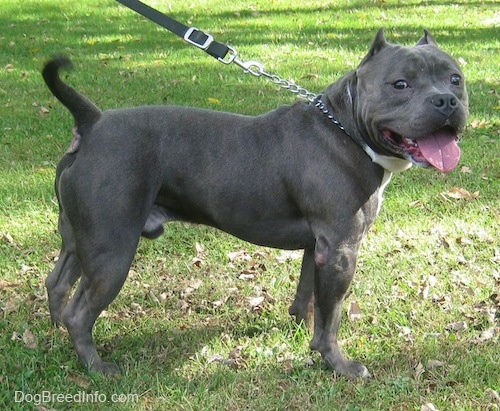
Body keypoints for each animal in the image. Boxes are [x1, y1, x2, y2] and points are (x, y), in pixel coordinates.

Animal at [43, 28, 468, 376]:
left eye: (455, 78)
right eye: (400, 84)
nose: (446, 101)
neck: (345, 128)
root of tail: (93, 123)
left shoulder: (319, 247)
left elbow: (308, 297)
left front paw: (300, 332)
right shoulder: (341, 251)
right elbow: (331, 317)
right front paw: (338, 364)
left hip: (79, 240)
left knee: (57, 284)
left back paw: (56, 337)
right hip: (112, 251)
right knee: (80, 312)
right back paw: (97, 368)